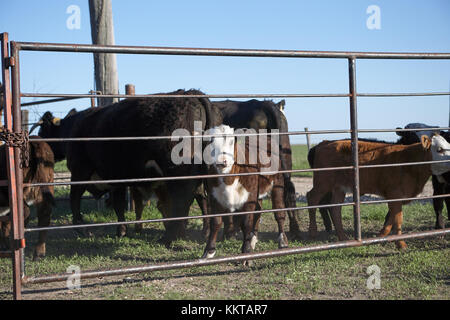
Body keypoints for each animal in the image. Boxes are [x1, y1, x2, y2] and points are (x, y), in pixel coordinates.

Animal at [201, 124, 288, 262]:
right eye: (211, 141)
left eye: (232, 142)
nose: (222, 161)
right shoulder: (214, 197)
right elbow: (216, 222)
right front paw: (209, 251)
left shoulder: (249, 197)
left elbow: (246, 223)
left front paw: (246, 253)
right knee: (258, 212)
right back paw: (252, 240)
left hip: (278, 184)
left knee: (279, 212)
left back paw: (282, 241)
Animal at [308, 134, 450, 249]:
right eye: (439, 149)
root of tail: (325, 143)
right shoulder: (395, 193)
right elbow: (398, 218)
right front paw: (401, 243)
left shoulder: (398, 196)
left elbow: (391, 217)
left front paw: (381, 235)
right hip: (323, 182)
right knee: (312, 198)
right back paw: (313, 231)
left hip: (339, 187)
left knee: (335, 209)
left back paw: (343, 238)